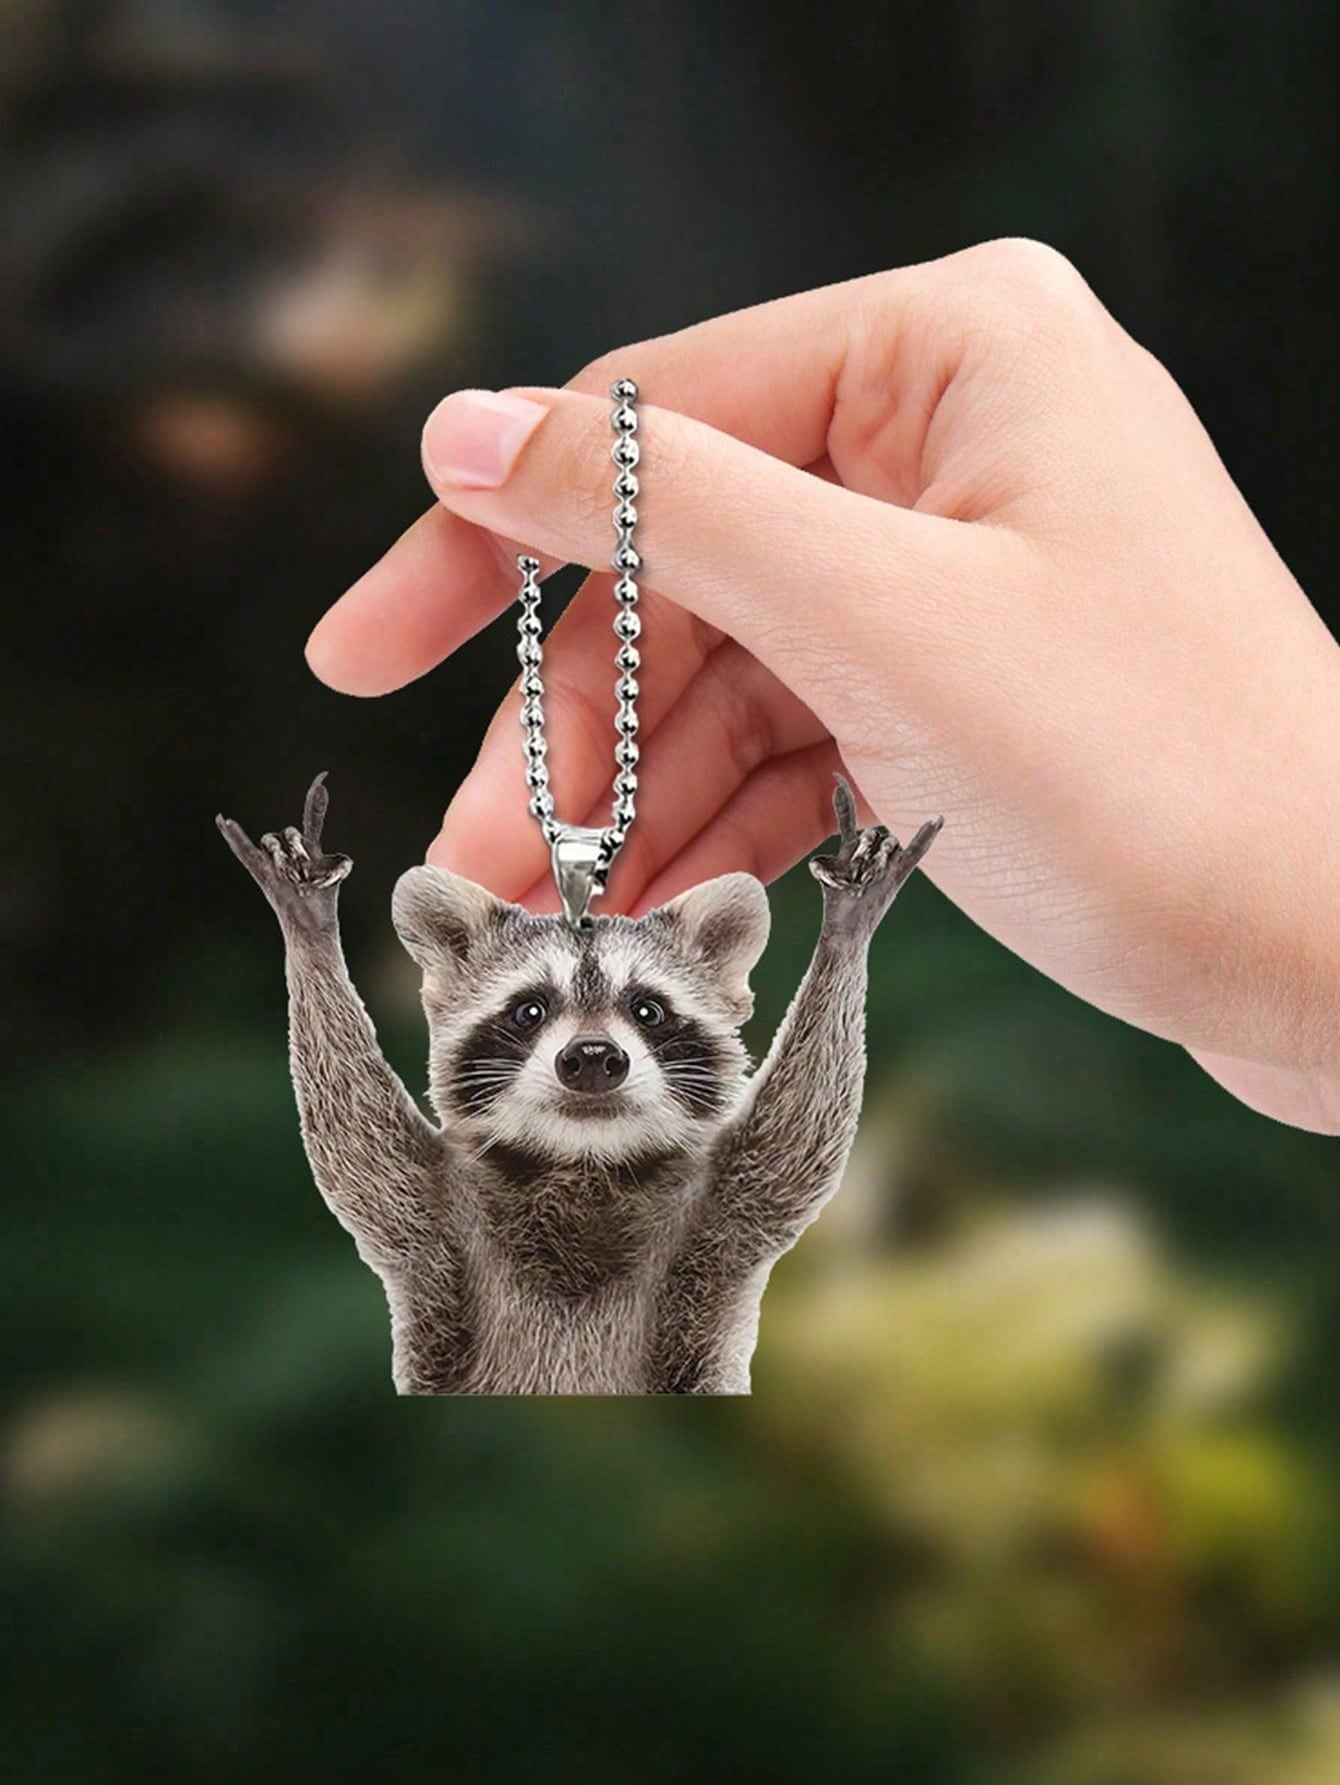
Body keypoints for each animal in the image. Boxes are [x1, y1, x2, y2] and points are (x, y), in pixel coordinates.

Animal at [216, 773, 940, 1393]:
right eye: (530, 1010)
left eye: (647, 1010)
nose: (592, 1057)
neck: (584, 1159)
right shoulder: (431, 1215)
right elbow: (355, 1140)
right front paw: (310, 931)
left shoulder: (724, 1215)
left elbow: (799, 1139)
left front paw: (845, 932)